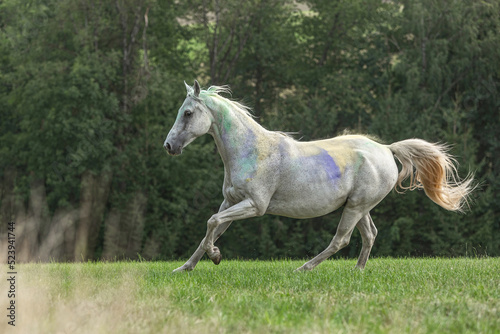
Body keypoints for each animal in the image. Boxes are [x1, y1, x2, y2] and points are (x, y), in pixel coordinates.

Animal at [164, 80, 472, 272]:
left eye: (188, 113)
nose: (169, 146)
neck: (252, 151)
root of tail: (387, 149)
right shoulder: (230, 202)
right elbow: (212, 228)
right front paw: (185, 267)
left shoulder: (254, 205)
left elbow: (211, 222)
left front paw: (215, 257)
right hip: (360, 207)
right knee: (369, 235)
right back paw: (357, 271)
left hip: (356, 207)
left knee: (341, 240)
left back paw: (304, 268)